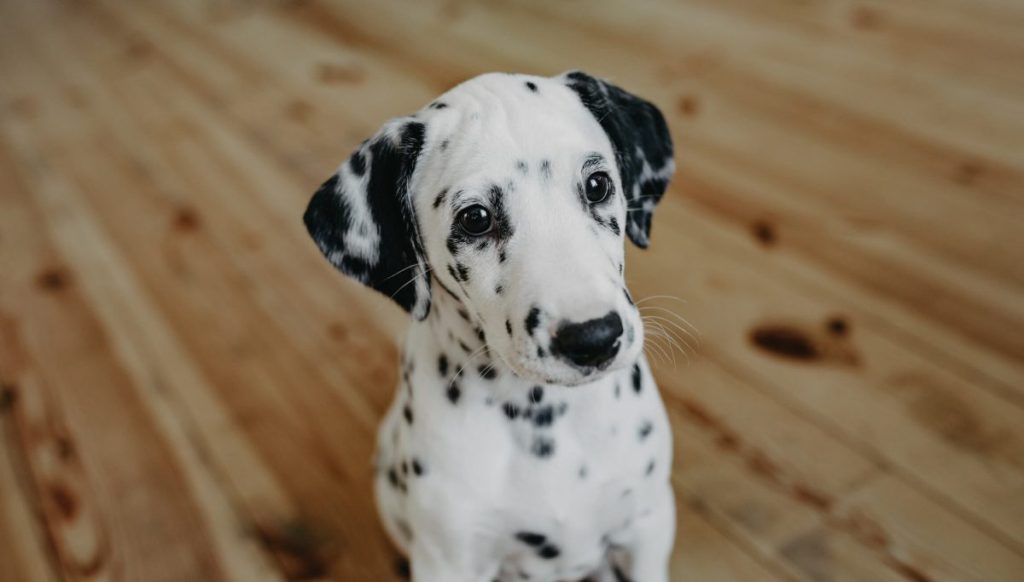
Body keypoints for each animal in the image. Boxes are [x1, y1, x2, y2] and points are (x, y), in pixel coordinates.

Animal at [299, 71, 675, 581]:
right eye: (475, 218)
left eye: (597, 184)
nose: (594, 338)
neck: (544, 416)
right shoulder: (448, 559)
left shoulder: (647, 528)